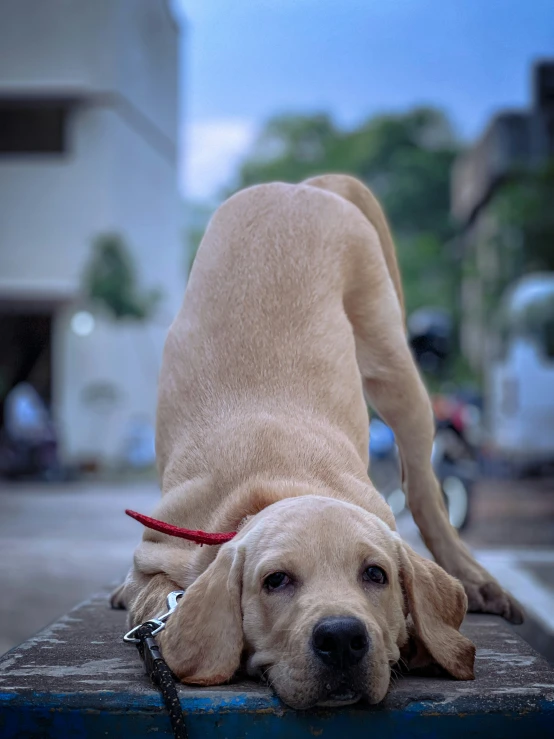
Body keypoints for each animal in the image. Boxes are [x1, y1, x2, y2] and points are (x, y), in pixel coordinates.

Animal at [113, 175, 520, 712]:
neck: (273, 484)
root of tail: (299, 185)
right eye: (275, 581)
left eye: (376, 574)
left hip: (395, 367)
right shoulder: (154, 557)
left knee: (425, 490)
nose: (343, 638)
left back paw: (476, 580)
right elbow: (153, 600)